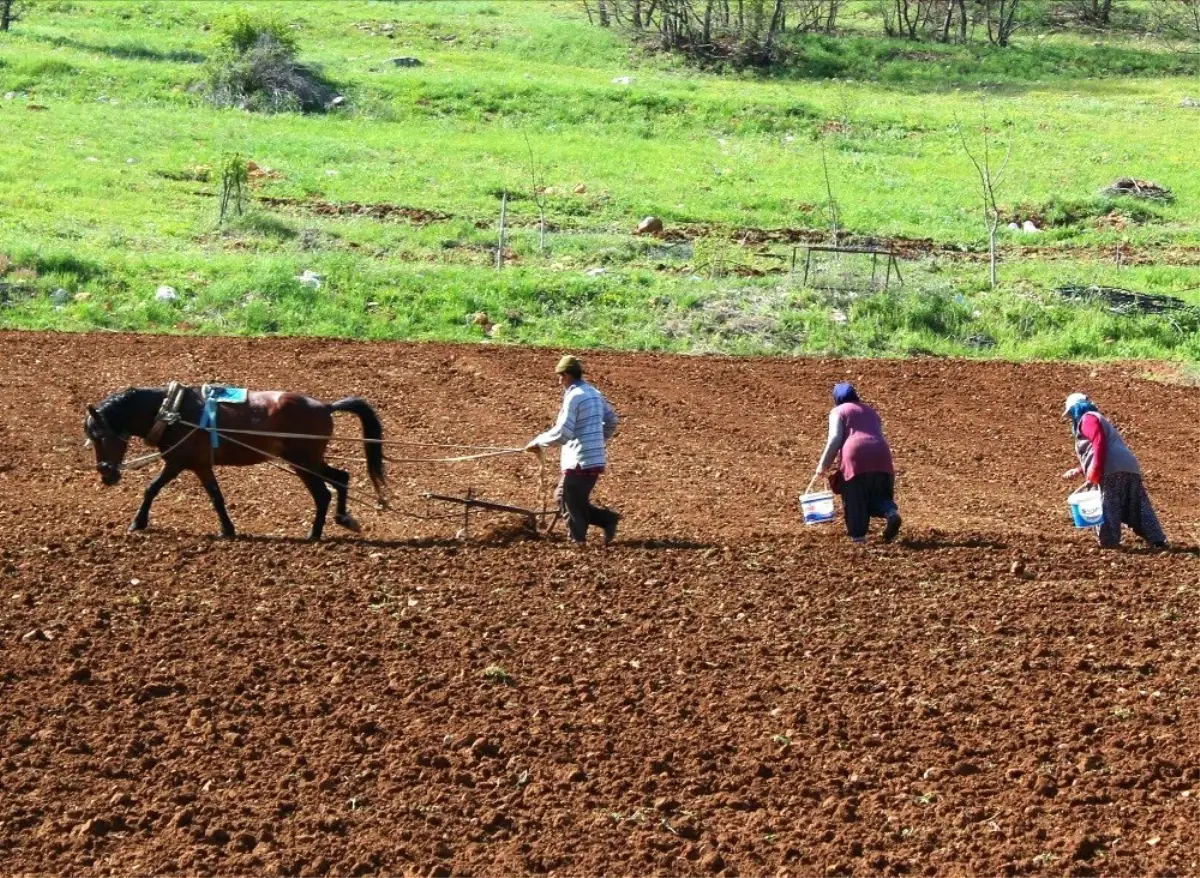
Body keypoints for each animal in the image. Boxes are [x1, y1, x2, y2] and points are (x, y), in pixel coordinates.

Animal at [88, 386, 388, 537]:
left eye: (100, 436)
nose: (106, 475)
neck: (172, 412)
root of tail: (325, 406)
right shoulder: (200, 465)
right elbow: (215, 496)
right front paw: (227, 529)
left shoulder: (178, 462)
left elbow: (151, 489)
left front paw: (137, 523)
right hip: (309, 460)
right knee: (341, 478)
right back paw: (343, 518)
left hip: (303, 461)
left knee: (324, 493)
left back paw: (315, 534)